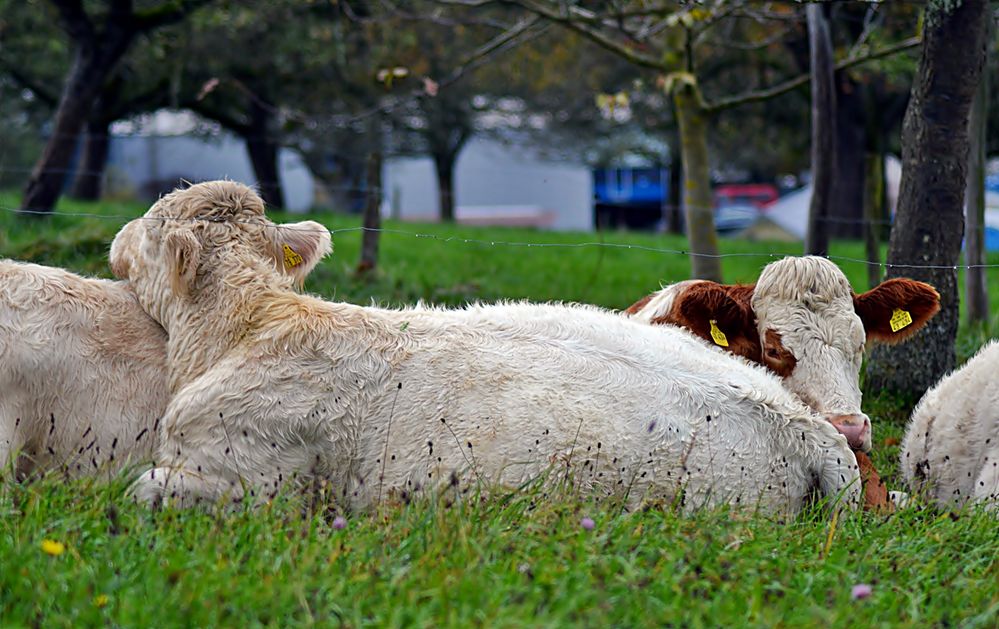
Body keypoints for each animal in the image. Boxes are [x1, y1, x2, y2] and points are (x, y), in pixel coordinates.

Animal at [107, 179, 860, 512]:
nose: (114, 243)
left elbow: (134, 493)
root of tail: (808, 424)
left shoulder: (233, 472)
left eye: (148, 227)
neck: (248, 326)